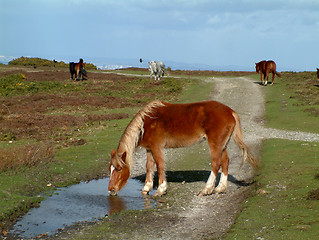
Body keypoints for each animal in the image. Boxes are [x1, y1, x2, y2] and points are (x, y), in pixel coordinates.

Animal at [109, 100, 258, 196]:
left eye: (118, 169)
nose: (111, 190)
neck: (146, 123)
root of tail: (230, 112)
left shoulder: (157, 148)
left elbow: (160, 166)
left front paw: (161, 189)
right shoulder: (149, 149)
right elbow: (149, 167)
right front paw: (147, 188)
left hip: (215, 145)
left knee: (216, 164)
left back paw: (206, 189)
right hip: (223, 145)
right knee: (225, 162)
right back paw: (220, 188)